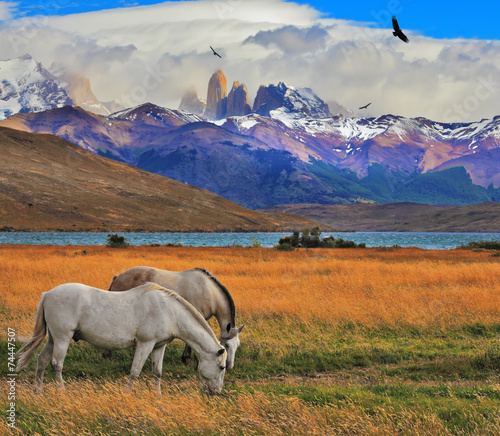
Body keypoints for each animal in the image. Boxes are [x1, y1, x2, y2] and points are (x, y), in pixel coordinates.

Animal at [15, 282, 227, 396]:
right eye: (222, 367)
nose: (215, 393)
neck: (169, 311)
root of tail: (48, 294)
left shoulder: (158, 346)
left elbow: (157, 372)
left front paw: (157, 396)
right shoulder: (145, 344)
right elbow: (135, 372)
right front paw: (127, 394)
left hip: (53, 338)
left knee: (42, 360)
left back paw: (37, 391)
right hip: (62, 338)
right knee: (56, 364)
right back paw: (62, 392)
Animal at [109, 268, 244, 370]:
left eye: (237, 345)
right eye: (227, 345)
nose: (229, 366)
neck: (209, 292)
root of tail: (118, 277)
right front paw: (188, 359)